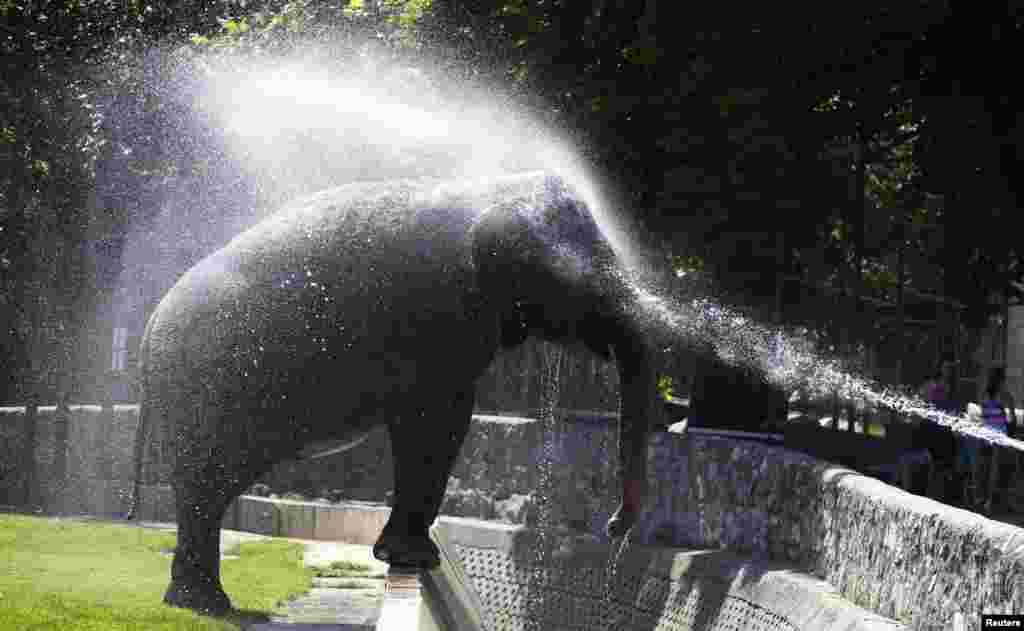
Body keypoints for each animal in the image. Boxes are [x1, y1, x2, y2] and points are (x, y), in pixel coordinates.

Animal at [125, 170, 663, 614]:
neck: (489, 188)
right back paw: (204, 606)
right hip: (206, 388)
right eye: (583, 289)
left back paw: (196, 602)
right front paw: (416, 558)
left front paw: (403, 556)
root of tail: (147, 335)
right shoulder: (439, 320)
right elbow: (439, 423)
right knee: (205, 485)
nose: (613, 528)